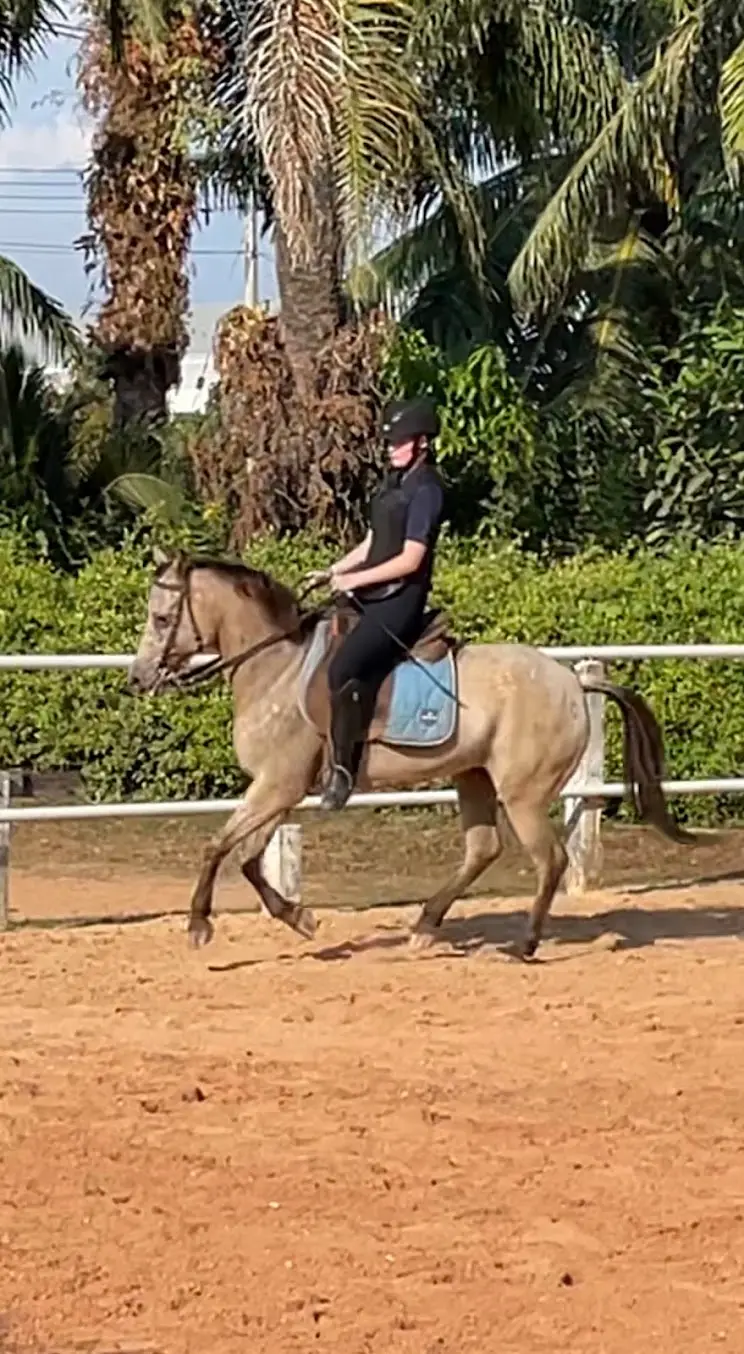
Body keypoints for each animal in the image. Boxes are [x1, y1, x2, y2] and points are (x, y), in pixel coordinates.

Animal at [127, 548, 696, 958]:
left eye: (161, 618)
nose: (138, 678)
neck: (276, 668)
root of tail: (574, 685)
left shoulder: (277, 786)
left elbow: (217, 846)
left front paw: (199, 925)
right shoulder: (277, 789)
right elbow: (246, 857)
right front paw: (301, 918)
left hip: (524, 793)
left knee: (549, 858)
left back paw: (525, 944)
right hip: (474, 776)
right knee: (483, 848)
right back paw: (424, 925)